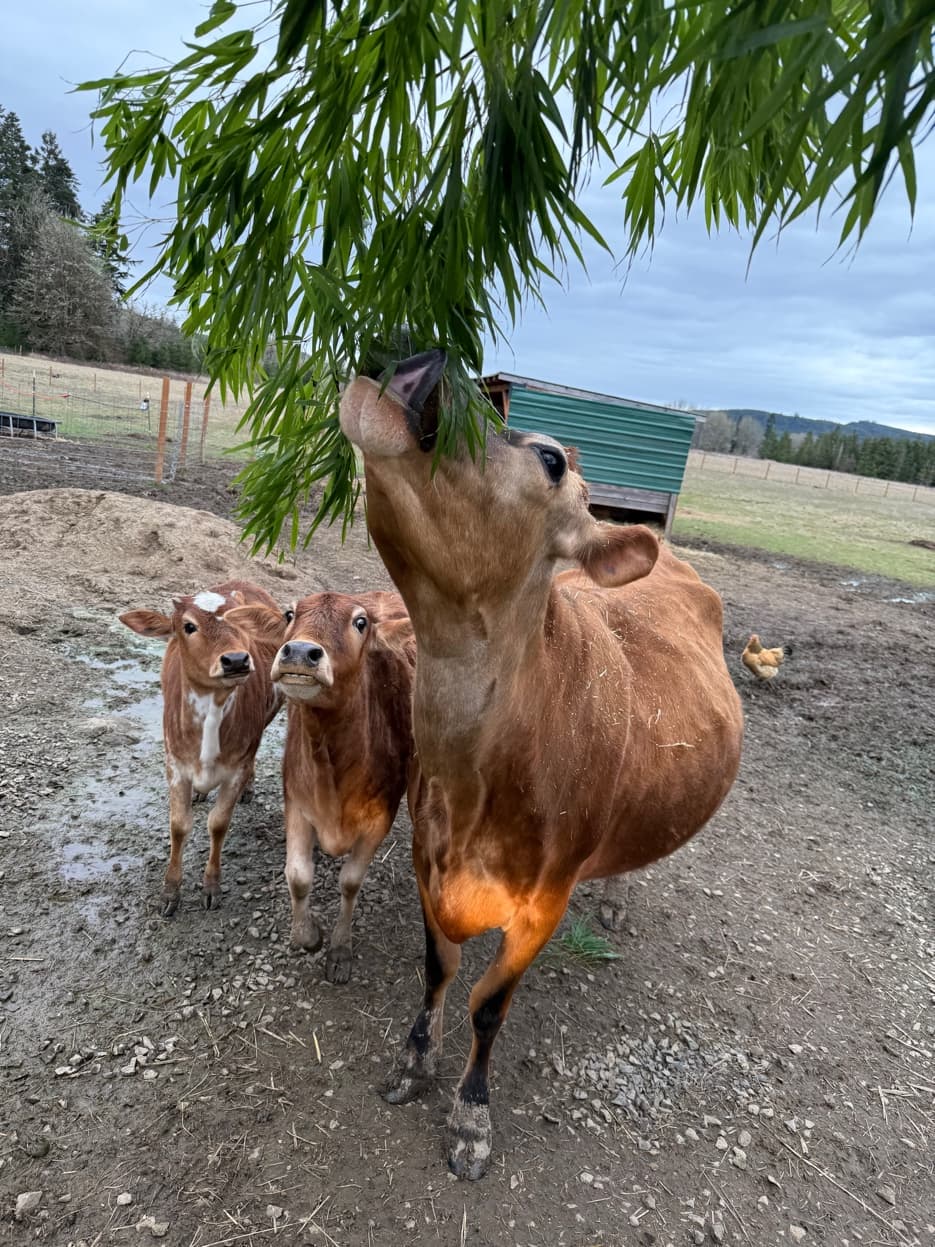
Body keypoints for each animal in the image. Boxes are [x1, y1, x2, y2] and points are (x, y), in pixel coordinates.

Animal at [119, 581, 287, 916]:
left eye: (241, 622)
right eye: (188, 626)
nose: (236, 660)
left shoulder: (236, 767)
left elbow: (218, 824)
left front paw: (211, 886)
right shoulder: (175, 764)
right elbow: (179, 826)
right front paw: (170, 892)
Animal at [262, 591, 416, 983]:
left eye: (360, 622)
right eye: (290, 613)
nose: (300, 652)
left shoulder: (380, 817)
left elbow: (350, 882)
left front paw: (340, 949)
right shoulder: (296, 801)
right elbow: (298, 876)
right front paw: (309, 935)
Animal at [339, 350, 744, 1179]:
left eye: (550, 458)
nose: (421, 356)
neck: (474, 783)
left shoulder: (542, 900)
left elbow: (488, 1004)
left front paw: (470, 1115)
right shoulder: (426, 858)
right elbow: (437, 969)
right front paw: (412, 1060)